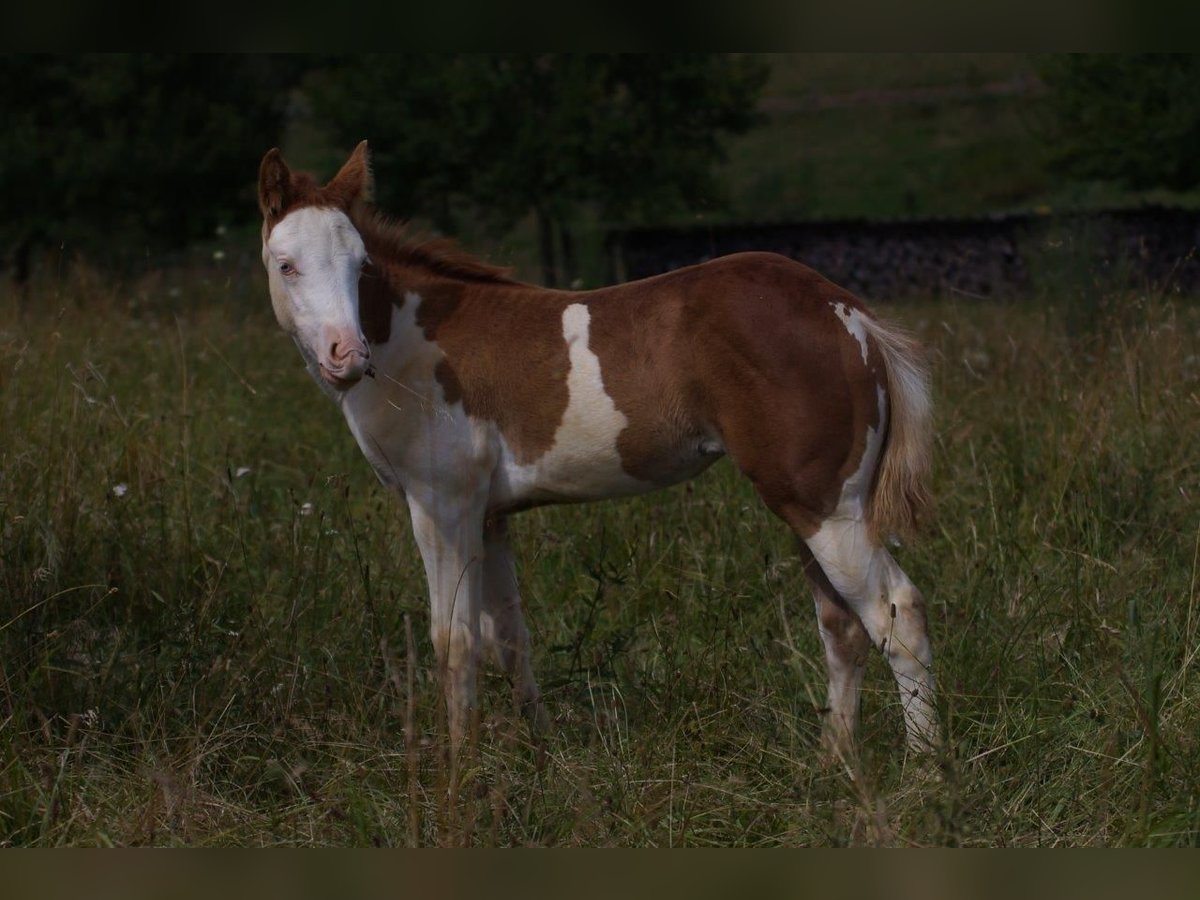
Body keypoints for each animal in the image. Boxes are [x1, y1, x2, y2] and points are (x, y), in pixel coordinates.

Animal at [260, 142, 936, 763]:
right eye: (286, 264)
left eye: (361, 265)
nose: (347, 354)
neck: (411, 343)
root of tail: (847, 314)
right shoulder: (489, 515)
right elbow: (509, 636)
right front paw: (538, 752)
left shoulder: (442, 507)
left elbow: (455, 640)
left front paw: (459, 771)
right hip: (805, 503)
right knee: (842, 626)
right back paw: (835, 763)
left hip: (826, 507)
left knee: (895, 615)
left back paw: (925, 771)